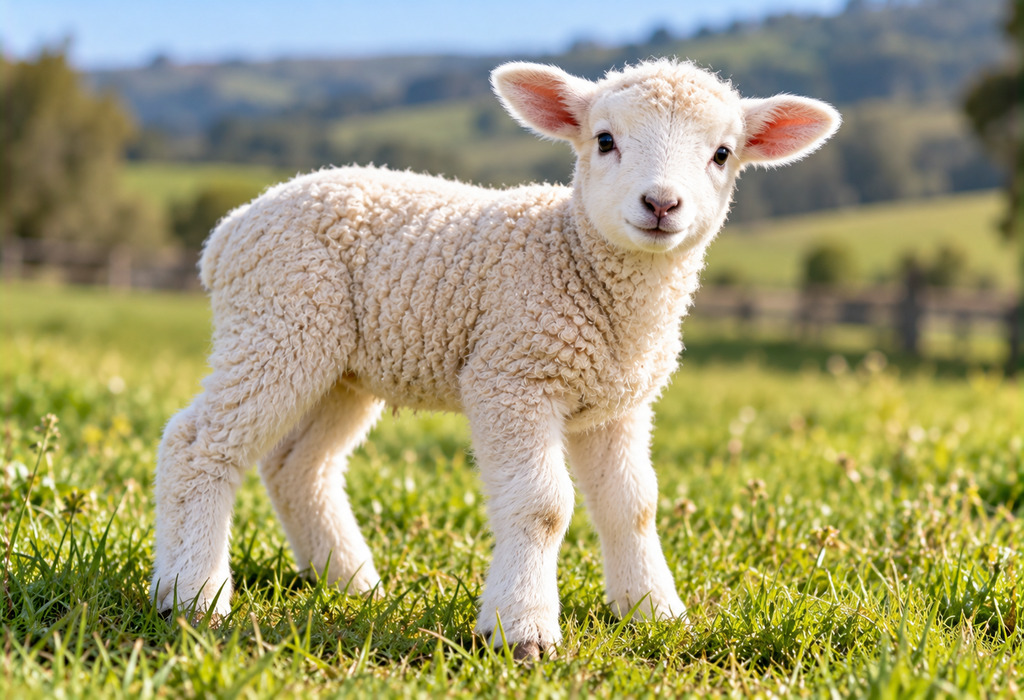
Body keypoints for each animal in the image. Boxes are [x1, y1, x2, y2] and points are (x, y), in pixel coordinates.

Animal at [151, 58, 839, 660]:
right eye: (605, 140)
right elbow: (542, 506)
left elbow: (634, 506)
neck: (578, 260)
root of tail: (228, 231)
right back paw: (191, 596)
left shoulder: (615, 404)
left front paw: (655, 614)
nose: (661, 204)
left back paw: (352, 585)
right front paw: (522, 631)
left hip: (343, 366)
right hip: (280, 319)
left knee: (298, 466)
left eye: (723, 153)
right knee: (198, 443)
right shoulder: (512, 373)